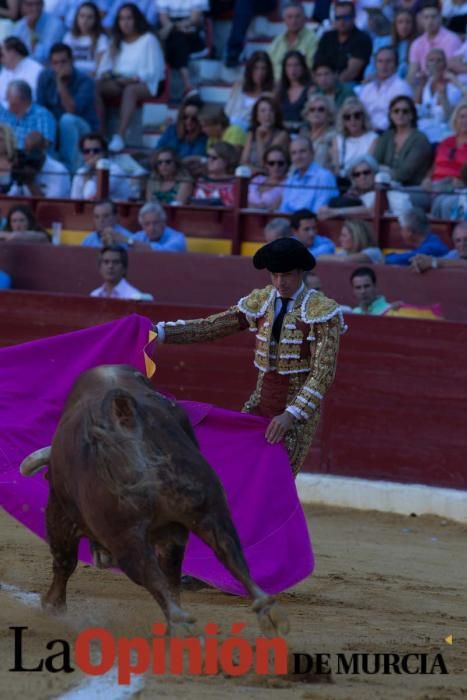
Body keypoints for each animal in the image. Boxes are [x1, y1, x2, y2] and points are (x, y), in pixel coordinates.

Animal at [21, 364, 288, 636]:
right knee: (226, 551)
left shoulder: (60, 512)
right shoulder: (173, 529)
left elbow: (64, 559)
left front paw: (52, 605)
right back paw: (266, 612)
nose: (102, 559)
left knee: (149, 573)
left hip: (124, 534)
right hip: (207, 507)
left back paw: (180, 624)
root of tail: (124, 414)